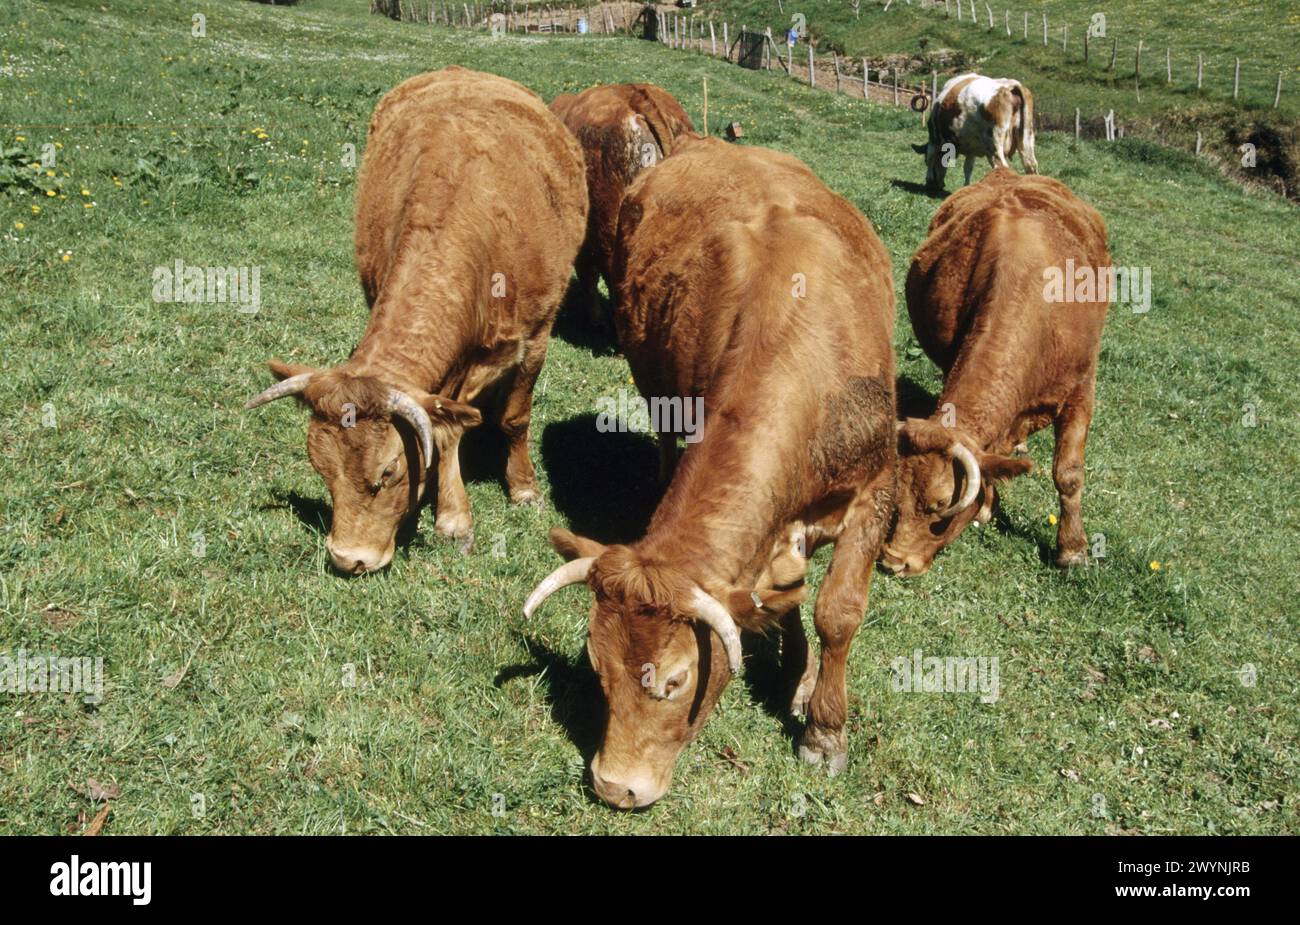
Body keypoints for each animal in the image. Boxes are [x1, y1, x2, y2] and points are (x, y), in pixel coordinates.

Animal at [245, 67, 587, 573]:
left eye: (389, 471)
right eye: (321, 469)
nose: (348, 559)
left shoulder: (537, 336)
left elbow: (514, 417)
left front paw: (522, 489)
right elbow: (444, 430)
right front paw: (454, 518)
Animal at [522, 138, 897, 809]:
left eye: (674, 681)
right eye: (598, 669)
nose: (614, 787)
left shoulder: (874, 489)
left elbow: (835, 610)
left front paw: (823, 727)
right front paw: (794, 673)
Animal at [881, 168, 1110, 576]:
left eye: (940, 506)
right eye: (897, 500)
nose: (894, 562)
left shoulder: (1082, 387)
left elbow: (1068, 473)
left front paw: (1073, 550)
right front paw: (987, 503)